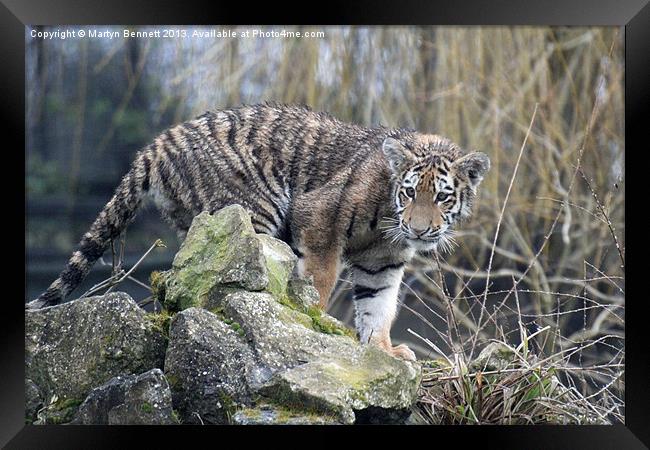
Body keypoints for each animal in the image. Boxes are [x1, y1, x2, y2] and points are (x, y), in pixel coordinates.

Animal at [27, 103, 488, 362]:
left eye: (442, 197)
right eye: (409, 193)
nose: (420, 229)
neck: (389, 225)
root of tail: (157, 144)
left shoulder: (382, 263)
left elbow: (379, 307)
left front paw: (383, 352)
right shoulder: (318, 219)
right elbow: (319, 280)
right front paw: (318, 325)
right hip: (253, 215)